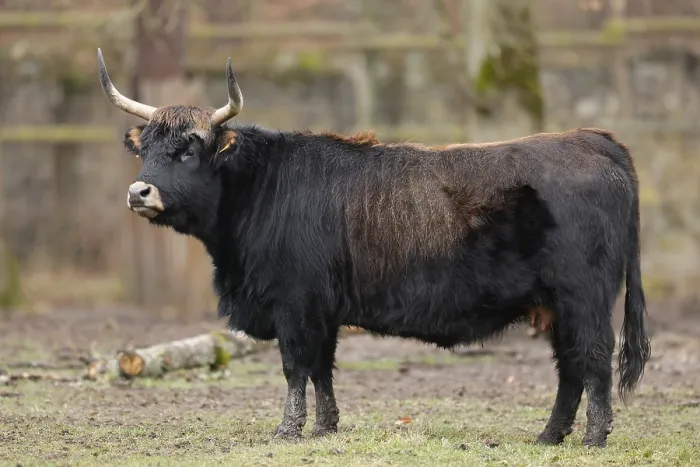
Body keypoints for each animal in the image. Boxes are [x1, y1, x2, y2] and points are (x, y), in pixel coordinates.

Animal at [97, 48, 651, 448]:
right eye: (146, 149)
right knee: (570, 367)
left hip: (582, 297)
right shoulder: (322, 310)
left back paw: (594, 437)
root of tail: (593, 140)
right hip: (555, 306)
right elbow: (322, 368)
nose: (138, 192)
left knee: (592, 357)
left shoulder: (294, 304)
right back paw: (549, 436)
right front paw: (325, 426)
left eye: (188, 150)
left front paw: (287, 430)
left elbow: (295, 367)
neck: (262, 186)